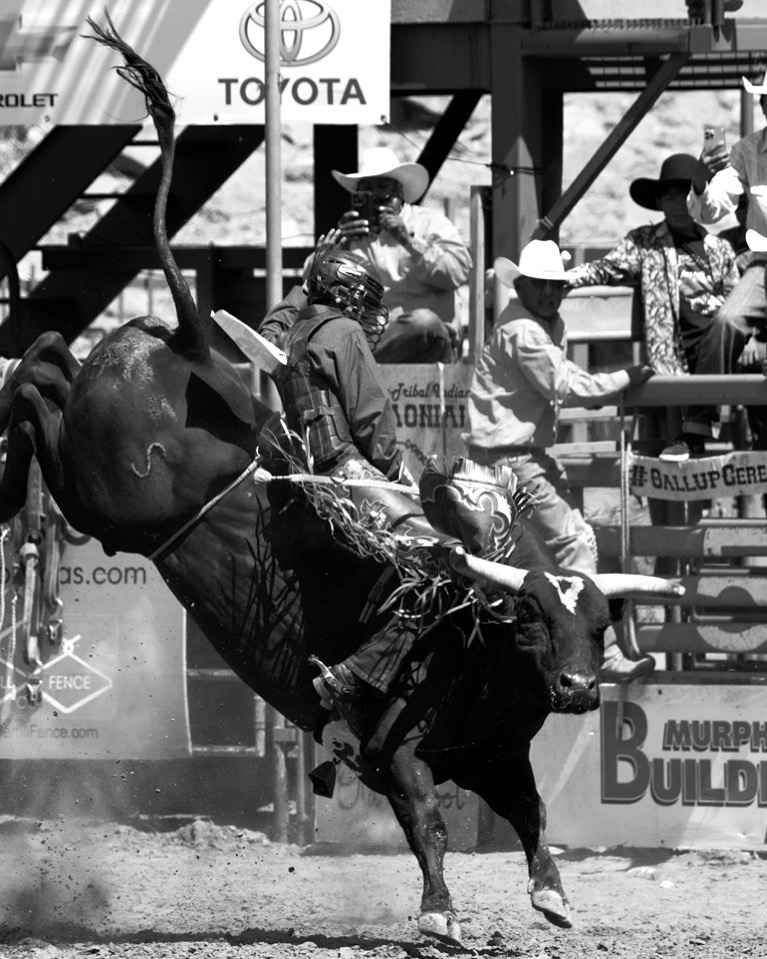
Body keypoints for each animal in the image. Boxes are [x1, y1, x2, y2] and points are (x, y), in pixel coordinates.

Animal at [0, 17, 683, 944]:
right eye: (534, 620)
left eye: (597, 622)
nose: (579, 689)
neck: (469, 635)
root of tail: (189, 340)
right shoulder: (399, 753)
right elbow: (428, 826)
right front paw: (438, 914)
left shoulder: (497, 755)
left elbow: (535, 816)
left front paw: (551, 894)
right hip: (109, 494)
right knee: (35, 378)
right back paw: (15, 501)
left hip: (99, 459)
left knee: (46, 363)